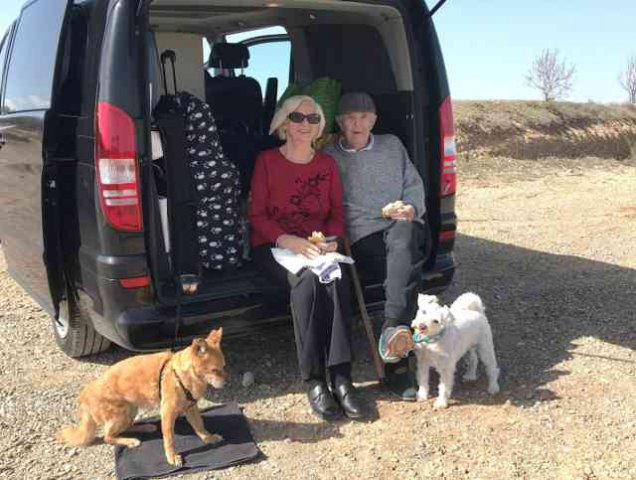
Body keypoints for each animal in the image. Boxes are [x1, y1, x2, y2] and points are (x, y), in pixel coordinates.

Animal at [57, 328, 226, 466]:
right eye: (214, 370)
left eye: (223, 367)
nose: (225, 382)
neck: (181, 374)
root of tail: (84, 396)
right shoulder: (168, 413)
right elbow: (169, 438)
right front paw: (172, 456)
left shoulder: (191, 408)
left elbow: (199, 426)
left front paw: (208, 438)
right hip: (121, 414)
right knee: (107, 437)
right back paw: (130, 441)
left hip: (130, 411)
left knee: (123, 428)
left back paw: (145, 427)